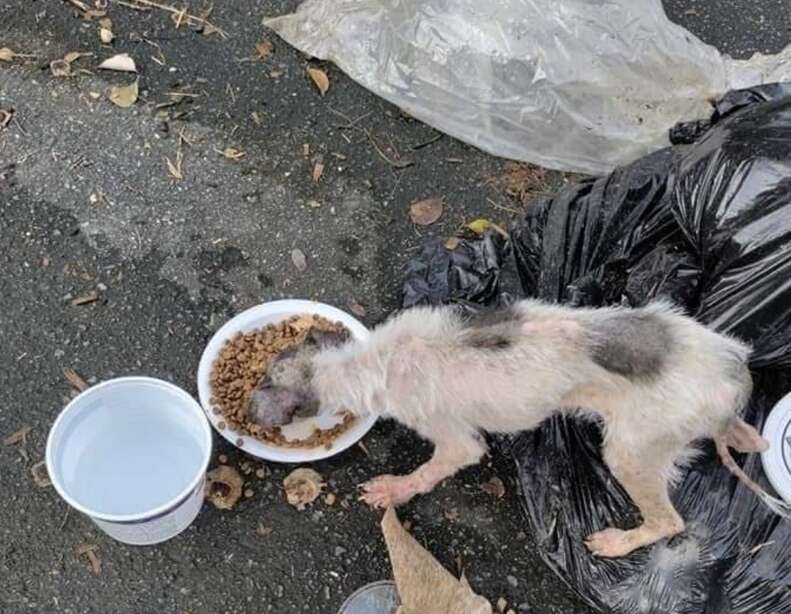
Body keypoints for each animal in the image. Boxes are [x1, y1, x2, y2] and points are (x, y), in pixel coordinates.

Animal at [249, 300, 791, 560]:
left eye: (267, 381)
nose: (249, 408)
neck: (371, 361)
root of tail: (732, 376)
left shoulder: (455, 440)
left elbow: (433, 469)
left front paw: (392, 490)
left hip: (634, 449)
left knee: (669, 522)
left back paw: (618, 542)